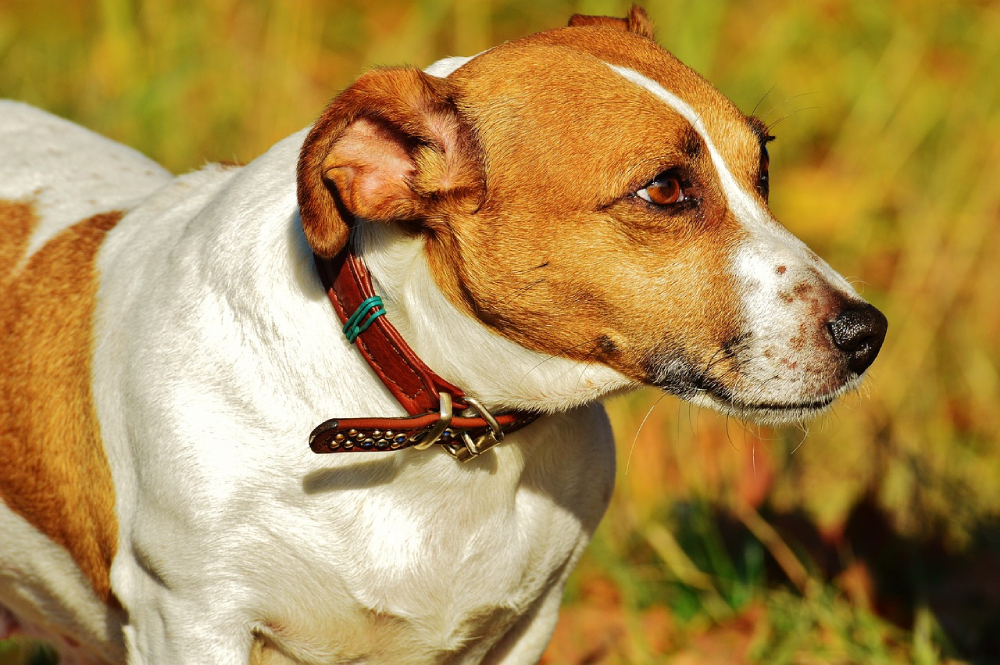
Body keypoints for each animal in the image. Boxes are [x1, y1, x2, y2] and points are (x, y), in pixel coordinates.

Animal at [3, 6, 888, 664]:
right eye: (665, 189)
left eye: (762, 164)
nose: (867, 332)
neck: (430, 414)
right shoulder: (191, 616)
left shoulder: (525, 623)